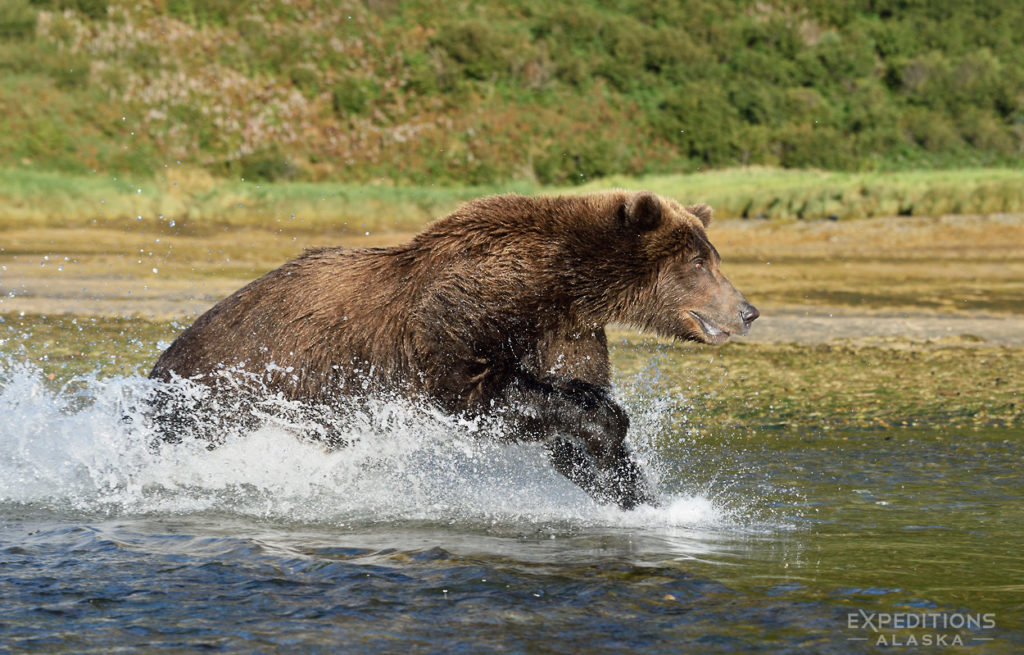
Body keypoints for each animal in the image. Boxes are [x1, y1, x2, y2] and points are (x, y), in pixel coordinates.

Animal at [153, 189, 761, 507]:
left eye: (714, 257)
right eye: (699, 262)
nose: (748, 311)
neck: (555, 284)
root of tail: (161, 364)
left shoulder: (567, 332)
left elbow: (568, 426)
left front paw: (637, 491)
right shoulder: (463, 310)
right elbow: (479, 390)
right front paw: (609, 428)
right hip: (230, 387)